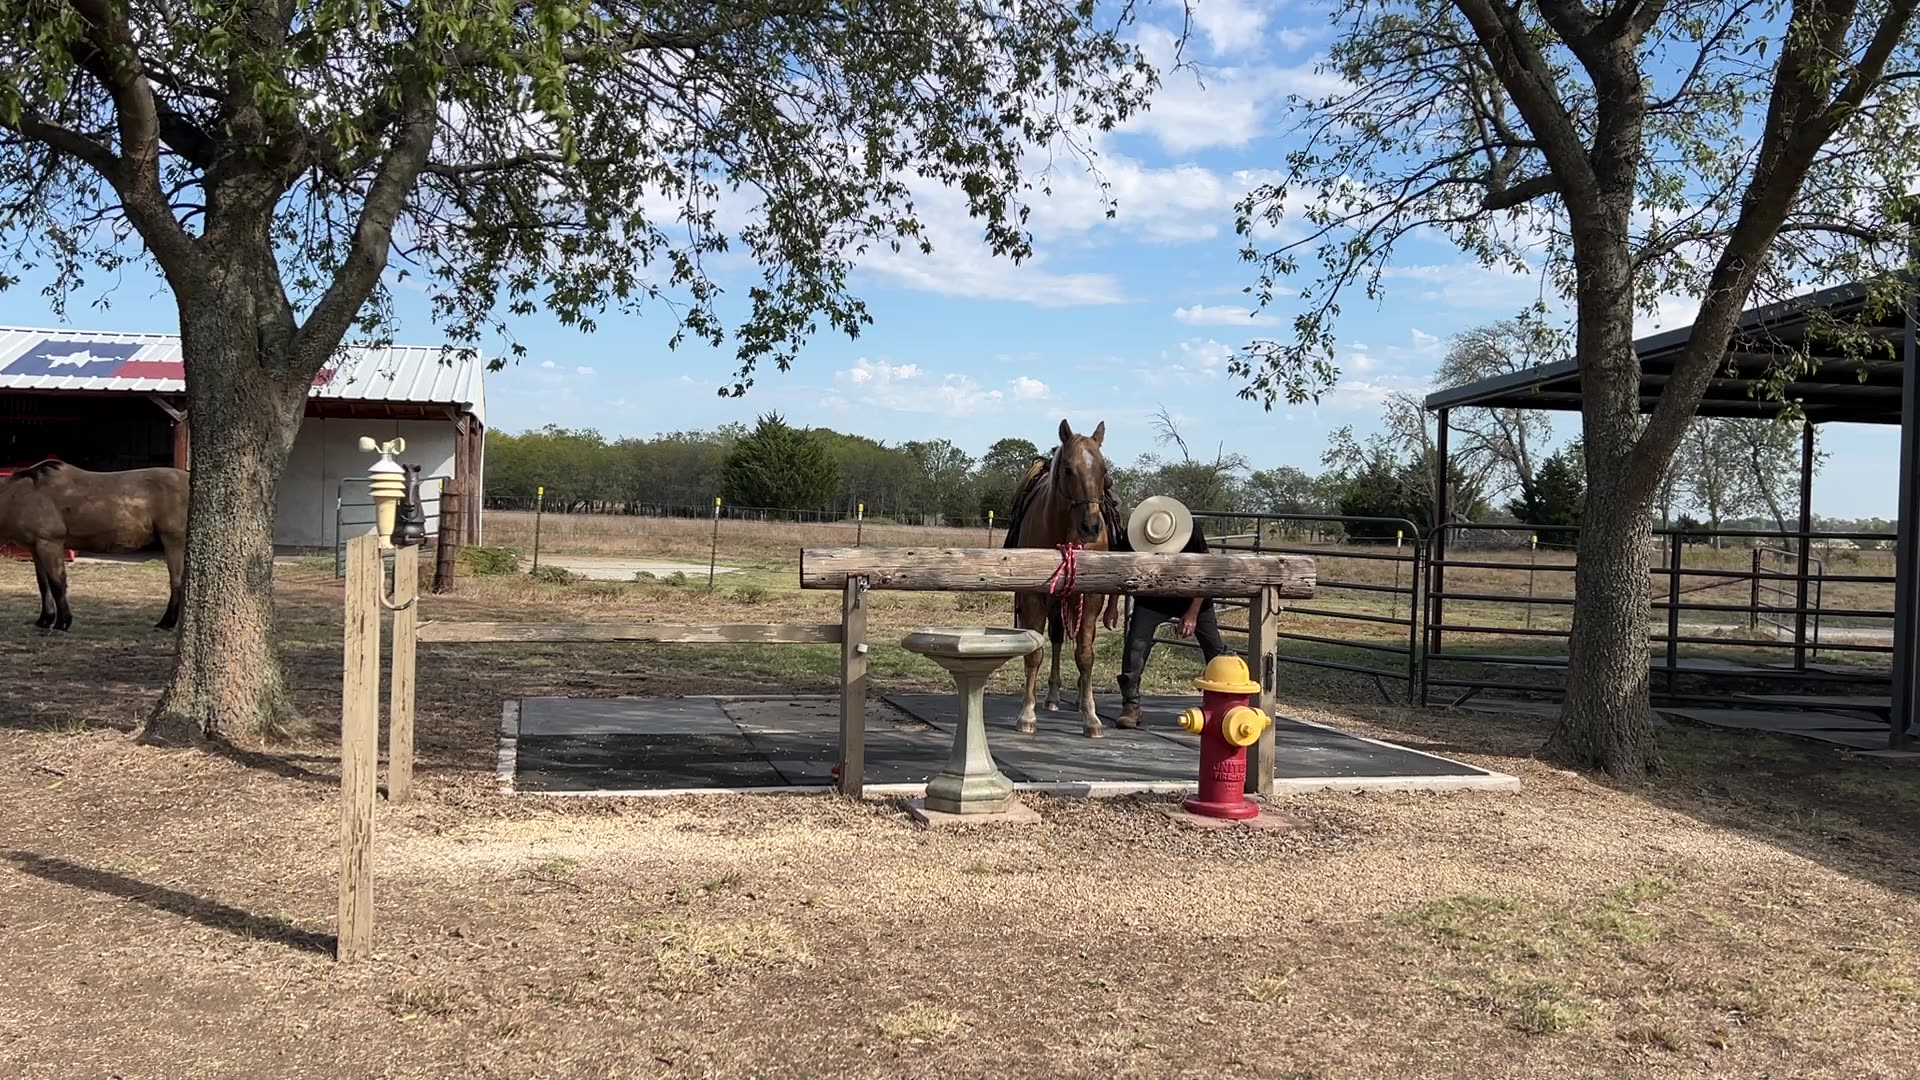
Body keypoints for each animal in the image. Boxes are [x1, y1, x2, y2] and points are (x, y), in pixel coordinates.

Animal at [0, 461, 188, 632]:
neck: (23, 494)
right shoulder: (35, 548)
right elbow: (43, 584)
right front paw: (45, 620)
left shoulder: (49, 544)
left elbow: (57, 583)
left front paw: (62, 622)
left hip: (174, 542)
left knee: (176, 581)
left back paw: (167, 622)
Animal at [1005, 419, 1122, 738]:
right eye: (1068, 469)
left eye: (1103, 471)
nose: (1091, 526)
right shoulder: (1034, 597)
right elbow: (1035, 654)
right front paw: (1027, 714)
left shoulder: (1090, 597)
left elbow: (1085, 655)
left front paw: (1091, 716)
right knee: (1056, 638)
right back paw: (1053, 696)